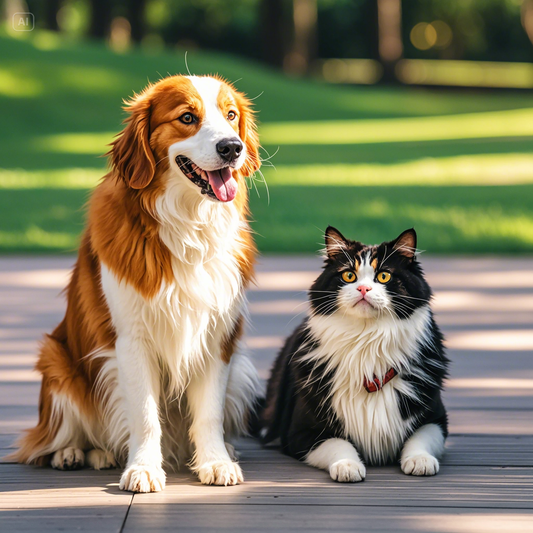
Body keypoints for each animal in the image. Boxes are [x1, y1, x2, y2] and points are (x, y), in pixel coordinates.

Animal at [11, 74, 260, 490]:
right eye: (187, 117)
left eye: (230, 115)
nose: (232, 147)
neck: (186, 226)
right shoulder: (130, 339)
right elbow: (144, 414)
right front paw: (143, 467)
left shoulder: (217, 338)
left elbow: (208, 413)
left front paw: (215, 461)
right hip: (56, 362)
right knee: (50, 440)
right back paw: (74, 453)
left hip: (240, 369)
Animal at [260, 228, 446, 482]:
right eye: (349, 276)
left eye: (384, 276)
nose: (363, 289)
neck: (366, 342)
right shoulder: (301, 433)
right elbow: (338, 443)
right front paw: (347, 466)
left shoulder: (436, 419)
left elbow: (421, 437)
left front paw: (420, 460)